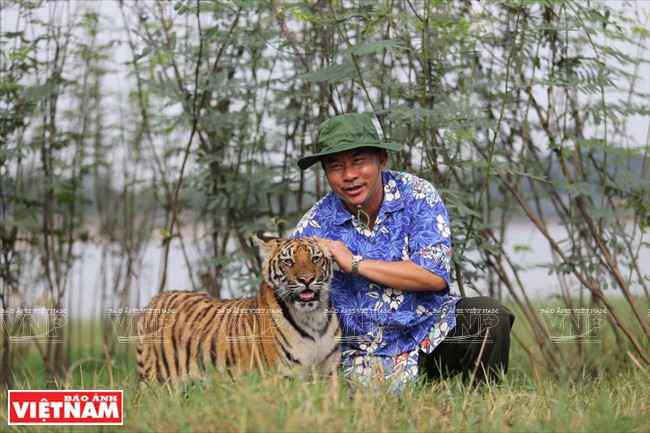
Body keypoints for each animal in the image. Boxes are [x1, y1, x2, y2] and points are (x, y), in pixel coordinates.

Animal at [136, 231, 341, 386]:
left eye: (315, 258)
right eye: (288, 261)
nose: (307, 279)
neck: (313, 316)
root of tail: (154, 299)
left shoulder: (329, 370)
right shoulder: (285, 375)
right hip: (157, 381)